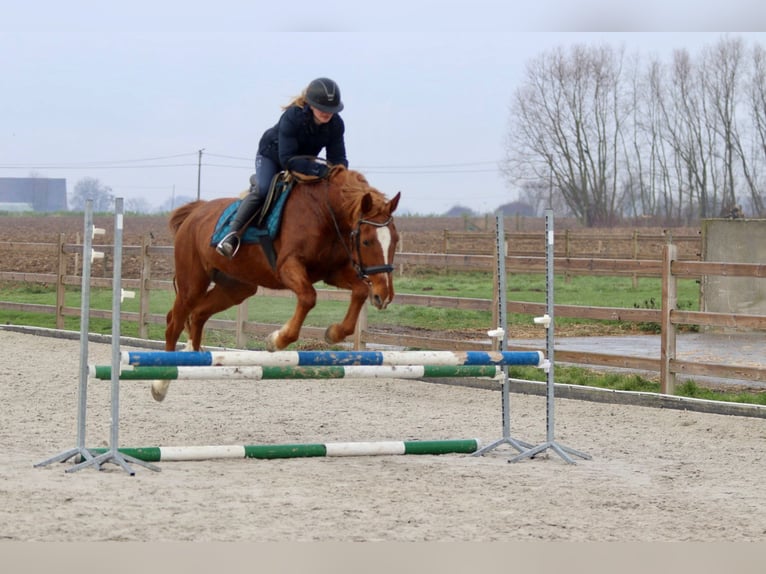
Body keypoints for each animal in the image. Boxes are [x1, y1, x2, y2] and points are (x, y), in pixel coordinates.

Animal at [152, 165, 401, 401]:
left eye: (396, 240)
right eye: (366, 241)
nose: (384, 295)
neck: (325, 212)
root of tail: (195, 212)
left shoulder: (332, 272)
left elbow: (359, 291)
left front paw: (334, 333)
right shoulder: (287, 266)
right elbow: (309, 297)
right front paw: (277, 340)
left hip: (236, 287)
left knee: (198, 314)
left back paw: (192, 354)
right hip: (192, 283)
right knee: (174, 322)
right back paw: (160, 383)